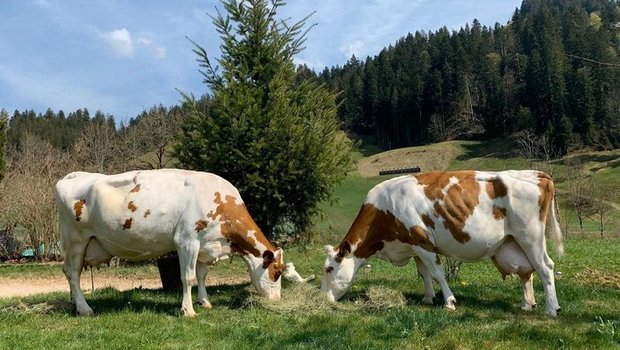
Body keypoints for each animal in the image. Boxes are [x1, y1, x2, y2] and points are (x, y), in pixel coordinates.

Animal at [54, 170, 286, 318]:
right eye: (276, 272)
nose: (276, 300)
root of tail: (72, 175)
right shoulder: (187, 241)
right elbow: (188, 278)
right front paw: (188, 311)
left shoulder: (205, 245)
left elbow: (202, 276)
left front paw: (205, 302)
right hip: (76, 240)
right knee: (73, 273)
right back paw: (85, 309)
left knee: (70, 274)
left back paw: (75, 304)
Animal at [322, 171, 564, 316]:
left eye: (329, 269)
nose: (323, 298)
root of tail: (535, 174)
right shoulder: (413, 245)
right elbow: (424, 273)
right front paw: (428, 298)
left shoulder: (423, 242)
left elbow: (437, 273)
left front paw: (449, 301)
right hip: (514, 242)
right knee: (527, 272)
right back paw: (527, 304)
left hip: (531, 236)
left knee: (545, 267)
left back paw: (552, 309)